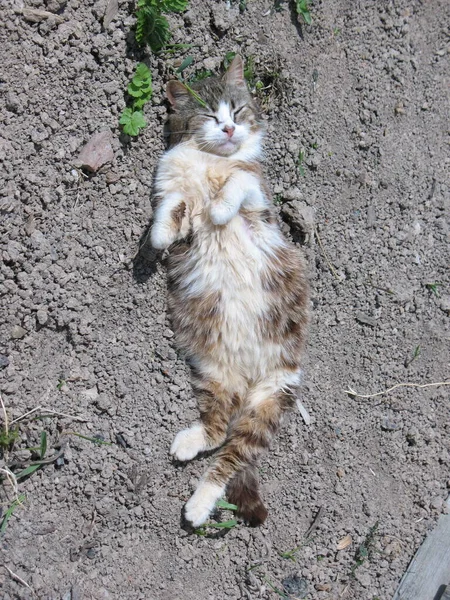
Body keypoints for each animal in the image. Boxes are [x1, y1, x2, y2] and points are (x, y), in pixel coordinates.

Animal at [149, 55, 308, 524]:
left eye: (236, 112)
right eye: (208, 115)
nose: (230, 129)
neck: (209, 161)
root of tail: (251, 376)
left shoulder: (258, 197)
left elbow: (236, 186)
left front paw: (219, 209)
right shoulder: (173, 189)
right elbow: (171, 210)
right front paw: (159, 237)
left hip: (270, 397)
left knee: (232, 456)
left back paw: (198, 507)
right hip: (215, 375)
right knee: (219, 432)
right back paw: (188, 449)